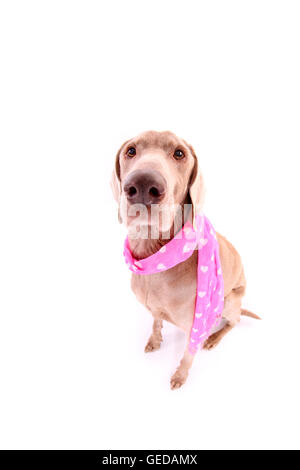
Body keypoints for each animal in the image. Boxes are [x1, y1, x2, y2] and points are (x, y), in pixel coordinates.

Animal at [110, 129, 260, 390]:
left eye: (179, 153)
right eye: (131, 150)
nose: (143, 185)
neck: (156, 256)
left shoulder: (195, 326)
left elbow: (188, 355)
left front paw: (180, 376)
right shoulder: (154, 308)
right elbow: (156, 321)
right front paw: (154, 340)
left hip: (229, 301)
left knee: (235, 320)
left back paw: (214, 338)